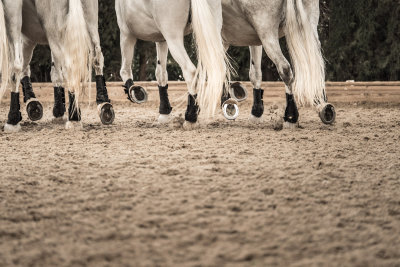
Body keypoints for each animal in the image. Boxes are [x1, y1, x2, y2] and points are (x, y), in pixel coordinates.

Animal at [0, 0, 115, 133]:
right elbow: (55, 71)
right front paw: (57, 110)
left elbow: (17, 67)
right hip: (89, 20)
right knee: (96, 57)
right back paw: (104, 104)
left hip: (52, 27)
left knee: (66, 66)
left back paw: (74, 118)